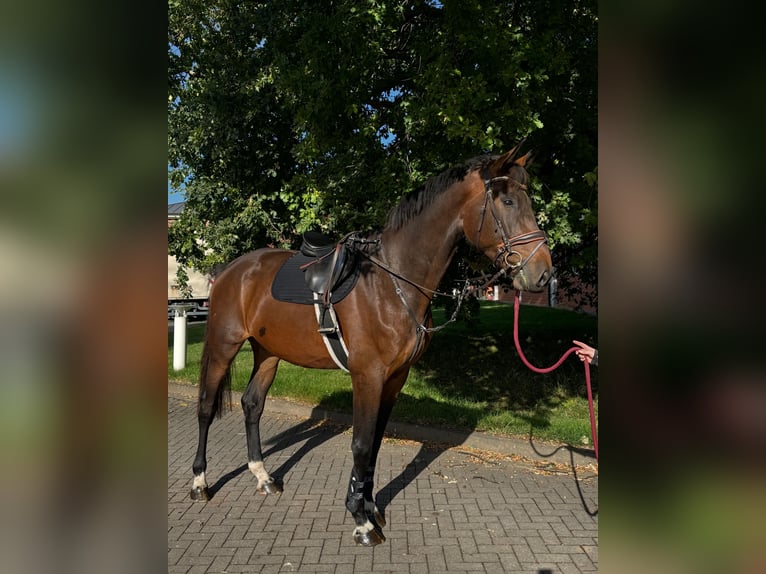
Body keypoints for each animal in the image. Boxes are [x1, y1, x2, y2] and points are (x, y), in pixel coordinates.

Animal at [189, 146, 553, 546]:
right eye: (507, 201)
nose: (543, 273)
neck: (391, 283)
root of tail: (230, 270)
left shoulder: (395, 378)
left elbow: (375, 443)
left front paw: (369, 506)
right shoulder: (368, 376)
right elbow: (361, 444)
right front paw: (361, 520)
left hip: (268, 352)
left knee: (252, 404)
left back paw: (263, 476)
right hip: (223, 345)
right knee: (206, 407)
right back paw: (200, 483)